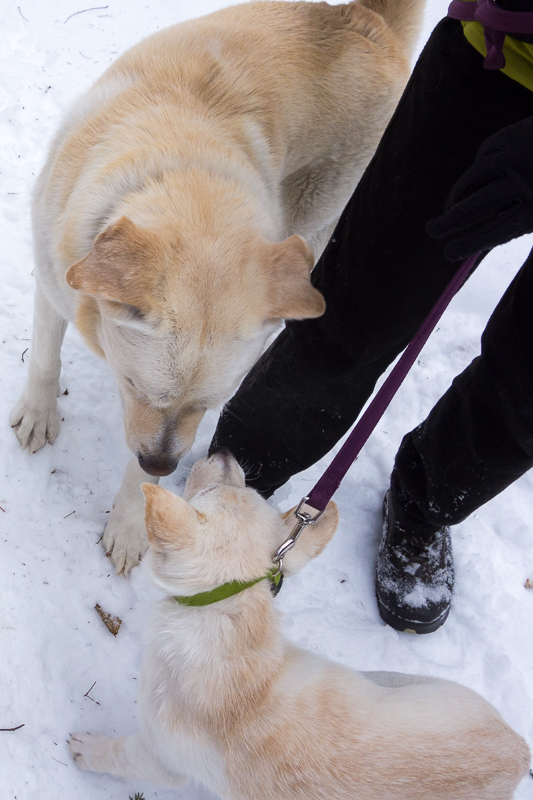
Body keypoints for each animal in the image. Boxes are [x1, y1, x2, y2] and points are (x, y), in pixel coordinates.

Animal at [12, 0, 426, 576]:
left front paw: (130, 522)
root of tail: (365, 20)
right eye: (133, 386)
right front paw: (39, 413)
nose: (161, 463)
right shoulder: (55, 280)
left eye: (209, 404)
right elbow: (46, 358)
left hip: (315, 217)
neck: (185, 171)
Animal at [68, 450, 528, 800]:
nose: (225, 452)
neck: (230, 610)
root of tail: (521, 753)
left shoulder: (161, 755)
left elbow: (123, 755)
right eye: (248, 491)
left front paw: (86, 749)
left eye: (210, 494)